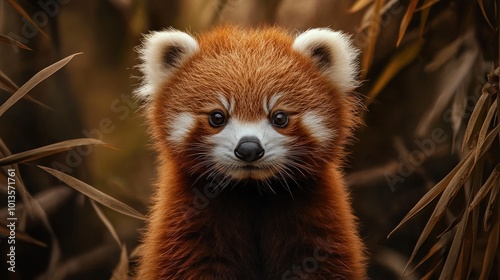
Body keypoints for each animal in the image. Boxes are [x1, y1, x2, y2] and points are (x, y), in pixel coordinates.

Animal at [135, 25, 366, 278]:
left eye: (279, 117)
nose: (249, 149)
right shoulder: (186, 223)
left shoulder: (318, 222)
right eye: (217, 117)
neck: (251, 191)